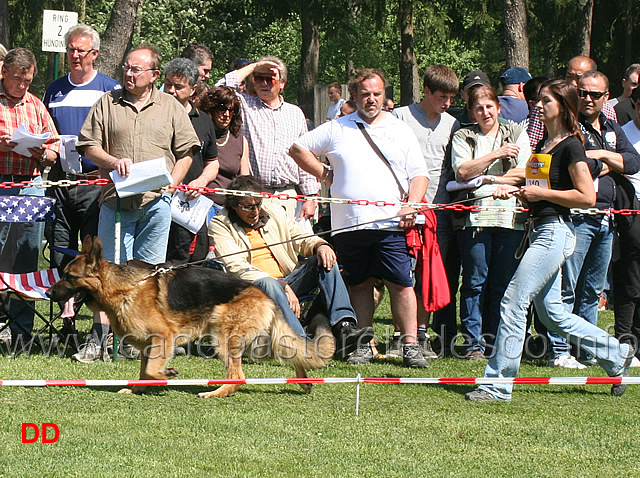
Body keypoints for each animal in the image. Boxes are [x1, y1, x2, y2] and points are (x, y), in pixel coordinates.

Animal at [45, 237, 336, 398]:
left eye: (69, 277)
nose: (47, 292)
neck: (124, 288)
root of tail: (265, 293)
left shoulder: (163, 338)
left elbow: (151, 370)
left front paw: (167, 374)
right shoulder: (149, 345)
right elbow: (143, 371)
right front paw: (138, 389)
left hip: (223, 336)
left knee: (237, 375)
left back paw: (216, 392)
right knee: (292, 351)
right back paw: (304, 382)